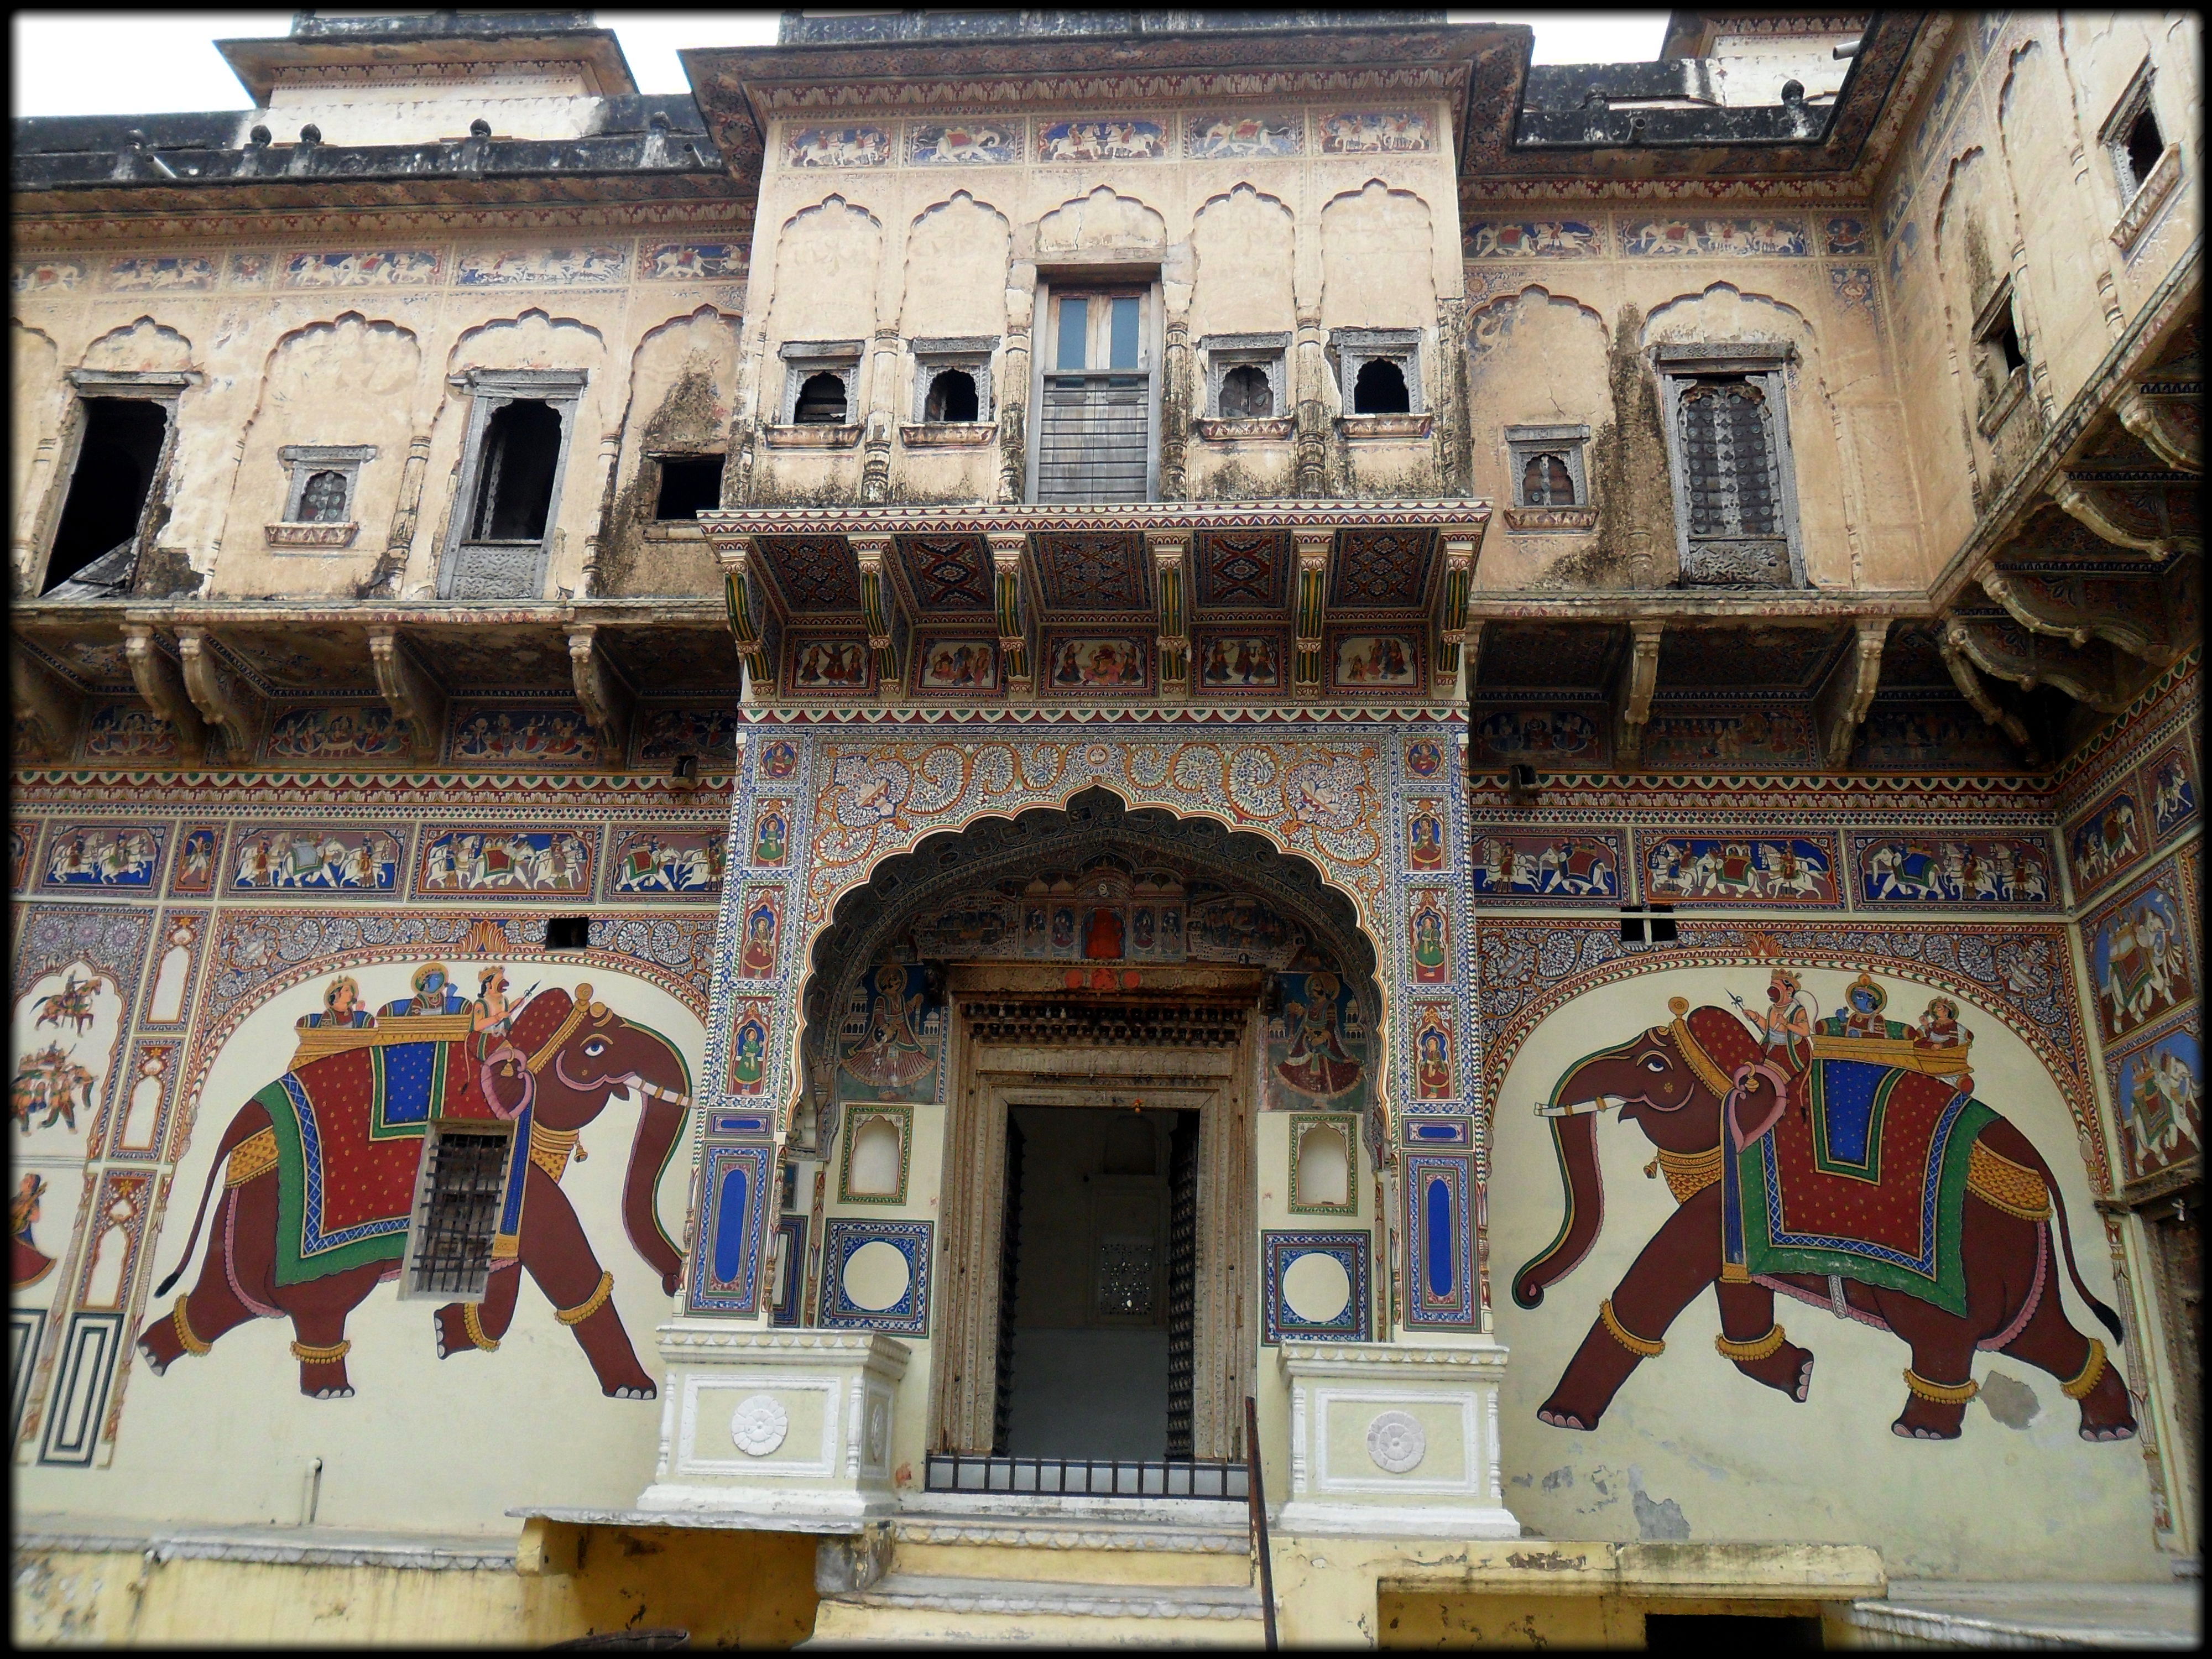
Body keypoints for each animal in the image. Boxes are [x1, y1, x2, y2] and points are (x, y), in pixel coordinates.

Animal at [142, 987, 690, 1407]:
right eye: (596, 1048)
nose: (671, 1282)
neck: (504, 1047)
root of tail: (247, 1121)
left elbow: (507, 1263)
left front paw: (450, 1334)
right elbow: (563, 1258)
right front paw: (635, 1389)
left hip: (246, 1204)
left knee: (229, 1296)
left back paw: (154, 1352)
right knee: (315, 1303)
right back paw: (330, 1391)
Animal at [1513, 995, 2132, 1451]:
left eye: (1656, 1067)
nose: (1528, 1295)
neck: (1762, 1067)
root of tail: (2035, 1163)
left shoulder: (1728, 1189)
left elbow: (1664, 1271)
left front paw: (1562, 1419)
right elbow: (1735, 1289)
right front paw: (1802, 1377)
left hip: (1967, 1259)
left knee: (1945, 1336)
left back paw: (1920, 1430)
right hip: (2019, 1249)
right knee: (2037, 1334)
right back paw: (2110, 1426)